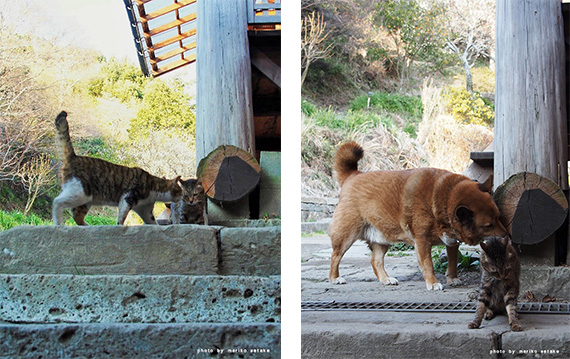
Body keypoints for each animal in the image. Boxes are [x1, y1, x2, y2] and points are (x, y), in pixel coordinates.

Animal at [52, 111, 182, 226]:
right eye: (181, 191)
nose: (184, 197)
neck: (154, 186)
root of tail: (73, 157)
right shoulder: (127, 198)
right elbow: (122, 217)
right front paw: (120, 225)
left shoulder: (145, 209)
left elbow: (153, 223)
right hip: (80, 192)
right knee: (57, 202)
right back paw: (58, 224)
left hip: (86, 200)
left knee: (77, 215)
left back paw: (86, 225)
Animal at [328, 142, 506, 292]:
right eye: (489, 225)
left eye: (499, 217)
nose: (507, 236)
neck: (445, 198)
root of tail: (353, 175)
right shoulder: (422, 242)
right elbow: (428, 265)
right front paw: (433, 282)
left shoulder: (452, 241)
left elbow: (453, 262)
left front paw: (452, 278)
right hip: (346, 236)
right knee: (335, 256)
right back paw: (335, 278)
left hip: (382, 239)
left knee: (375, 261)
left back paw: (386, 279)